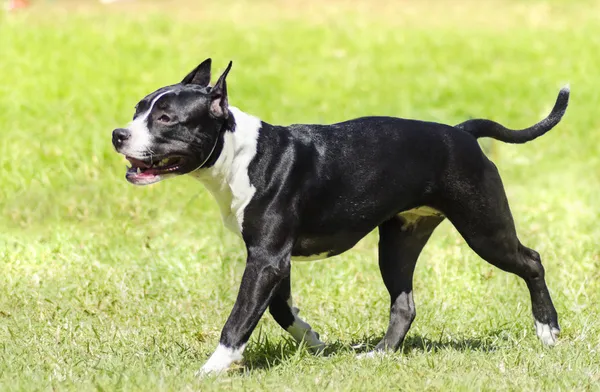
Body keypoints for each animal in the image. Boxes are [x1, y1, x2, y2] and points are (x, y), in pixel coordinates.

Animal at [111, 58, 568, 374]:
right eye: (136, 110)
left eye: (166, 118)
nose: (118, 134)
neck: (241, 154)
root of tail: (461, 132)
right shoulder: (272, 259)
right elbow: (278, 310)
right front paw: (314, 341)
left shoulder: (266, 260)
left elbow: (239, 318)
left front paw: (212, 368)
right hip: (399, 242)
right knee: (404, 304)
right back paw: (378, 355)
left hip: (484, 229)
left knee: (531, 262)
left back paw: (548, 330)